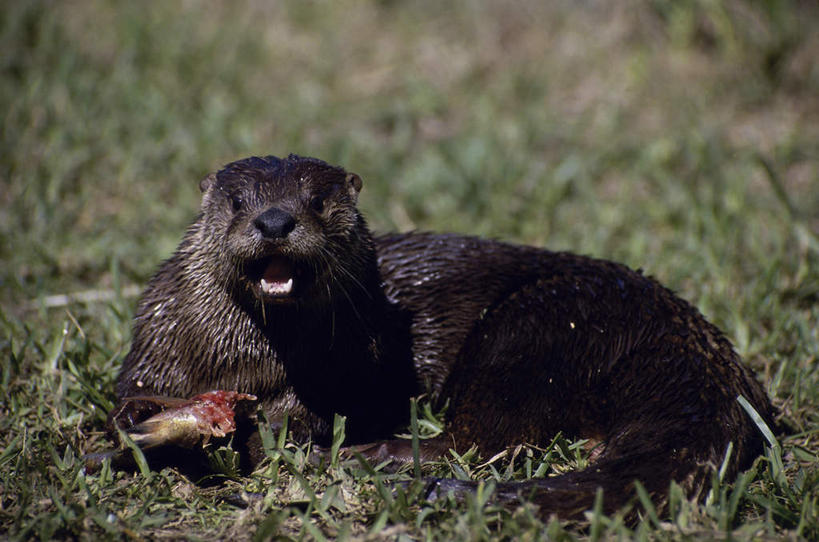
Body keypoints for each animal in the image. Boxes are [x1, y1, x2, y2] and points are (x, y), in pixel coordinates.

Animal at [113, 155, 776, 520]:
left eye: (318, 201)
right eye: (235, 201)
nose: (274, 220)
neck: (238, 361)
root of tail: (681, 329)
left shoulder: (342, 367)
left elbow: (310, 413)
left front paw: (274, 438)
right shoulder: (157, 338)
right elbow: (128, 396)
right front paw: (156, 425)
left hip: (533, 329)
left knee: (485, 439)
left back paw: (368, 456)